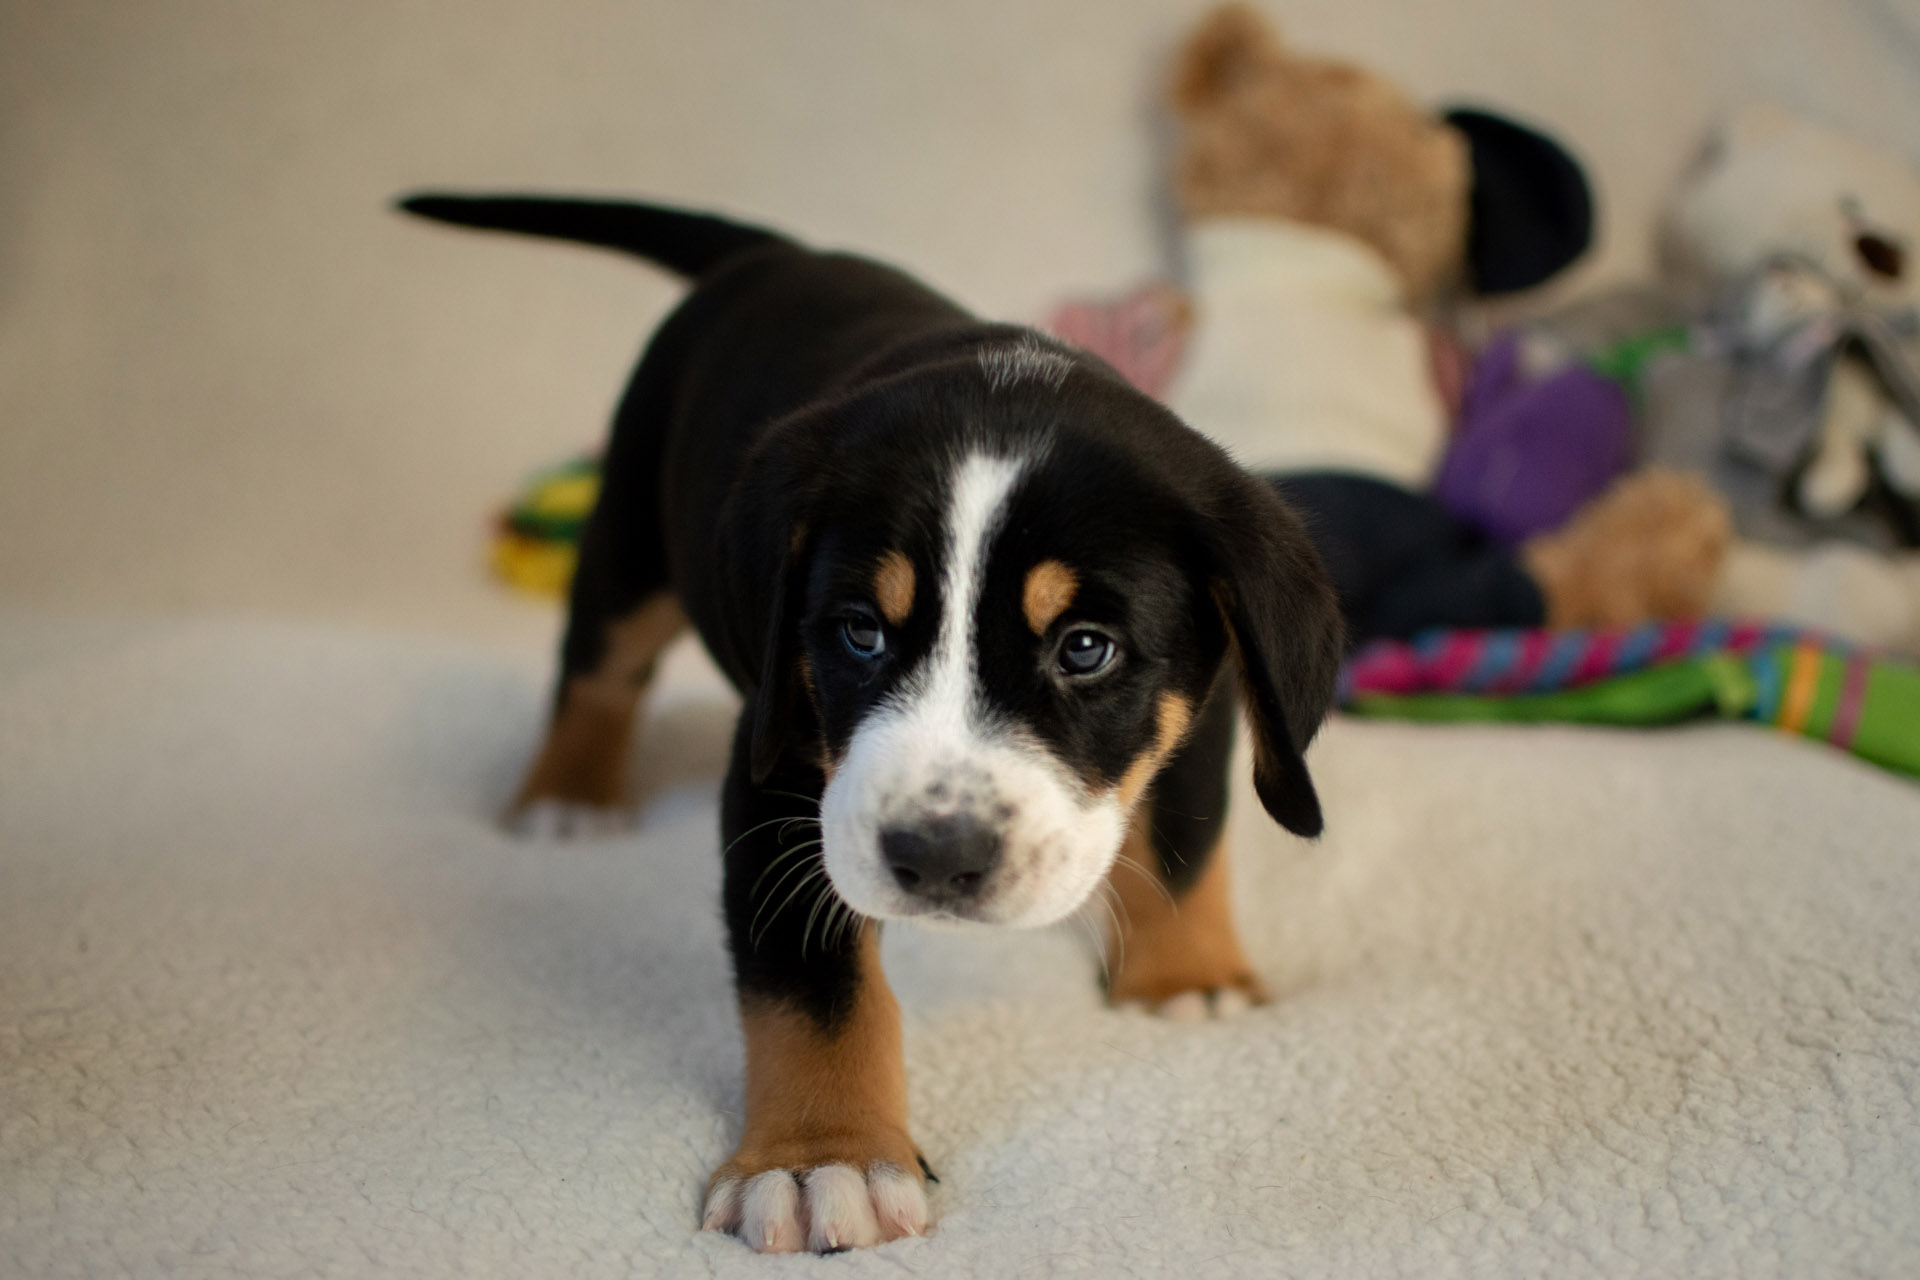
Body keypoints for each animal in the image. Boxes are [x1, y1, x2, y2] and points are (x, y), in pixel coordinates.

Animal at [400, 194, 1344, 1253]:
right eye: (859, 631)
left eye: (1087, 648)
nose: (938, 857)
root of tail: (779, 254)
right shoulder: (781, 774)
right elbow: (815, 986)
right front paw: (823, 1160)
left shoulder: (1205, 704)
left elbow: (1185, 840)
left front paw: (1187, 977)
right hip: (634, 525)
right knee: (598, 668)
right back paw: (567, 796)